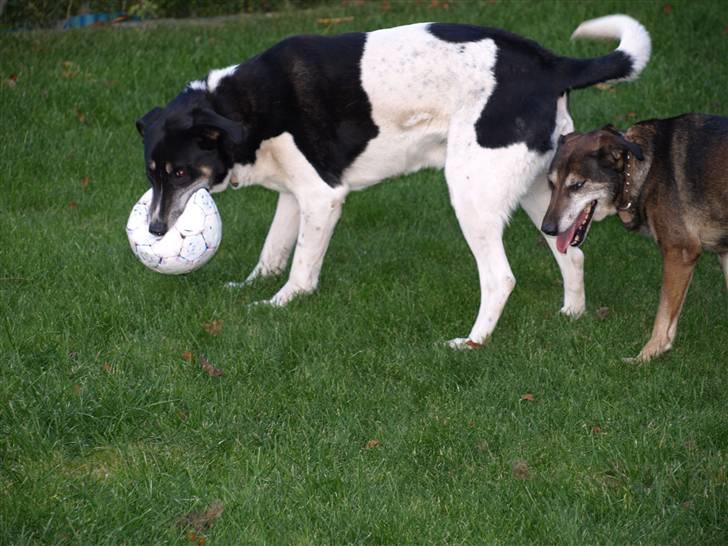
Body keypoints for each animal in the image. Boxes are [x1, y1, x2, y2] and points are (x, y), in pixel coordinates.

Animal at [136, 17, 648, 348]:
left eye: (179, 173)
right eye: (151, 174)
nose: (155, 230)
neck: (241, 108)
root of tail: (551, 63)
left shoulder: (322, 197)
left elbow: (301, 269)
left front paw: (279, 303)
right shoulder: (294, 195)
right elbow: (273, 251)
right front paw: (250, 287)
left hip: (472, 191)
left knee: (500, 278)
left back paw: (472, 341)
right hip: (544, 192)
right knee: (573, 254)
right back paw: (571, 315)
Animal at [540, 113, 728, 362]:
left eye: (577, 185)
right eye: (551, 184)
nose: (547, 229)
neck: (641, 171)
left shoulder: (680, 252)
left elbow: (664, 314)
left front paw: (646, 356)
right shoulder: (724, 253)